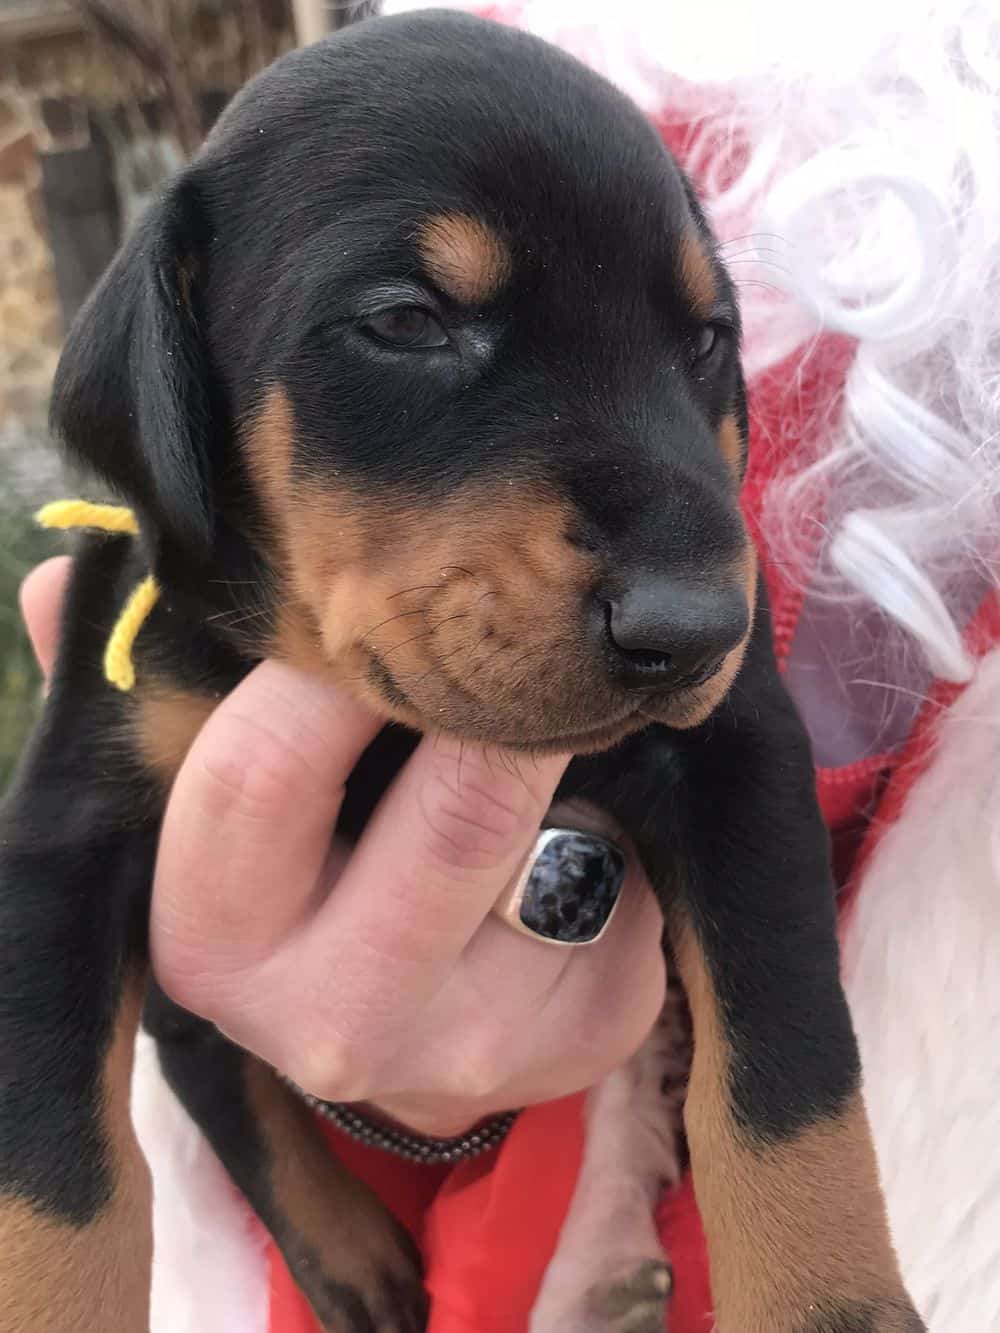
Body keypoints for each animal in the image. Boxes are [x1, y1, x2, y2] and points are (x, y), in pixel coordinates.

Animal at [0, 10, 922, 1333]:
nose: (698, 627)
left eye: (705, 341)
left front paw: (828, 1301)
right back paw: (354, 1260)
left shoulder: (739, 754)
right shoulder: (70, 831)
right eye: (407, 320)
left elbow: (791, 1070)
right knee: (209, 1062)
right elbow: (57, 1178)